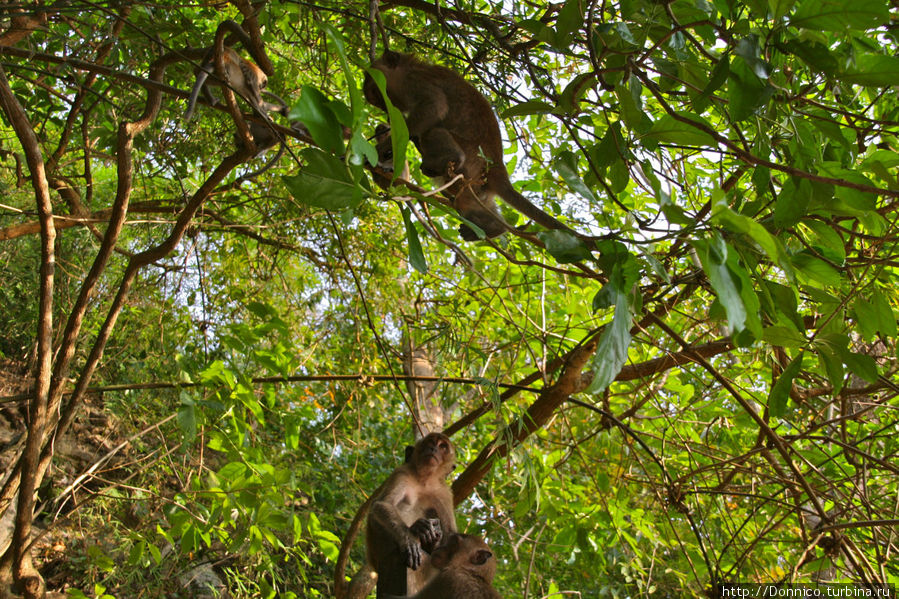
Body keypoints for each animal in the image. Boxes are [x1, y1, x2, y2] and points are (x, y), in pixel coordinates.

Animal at [362, 51, 588, 244]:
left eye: (377, 91)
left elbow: (434, 108)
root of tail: (498, 169)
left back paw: (450, 158)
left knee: (433, 132)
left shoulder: (417, 83)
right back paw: (495, 228)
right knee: (469, 205)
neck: (412, 70)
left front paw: (384, 147)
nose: (386, 108)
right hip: (477, 188)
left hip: (473, 160)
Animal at [370, 434, 460, 596]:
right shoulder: (402, 473)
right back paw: (417, 529)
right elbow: (383, 504)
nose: (433, 448)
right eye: (431, 442)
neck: (425, 480)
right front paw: (410, 540)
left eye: (443, 447)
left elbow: (451, 533)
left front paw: (436, 536)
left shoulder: (444, 492)